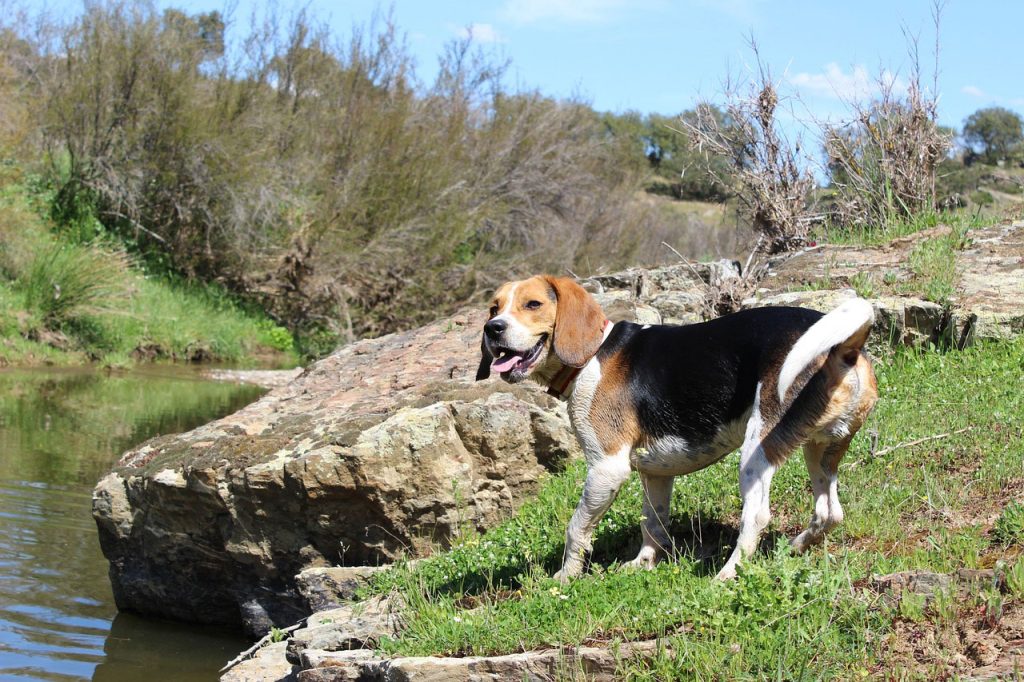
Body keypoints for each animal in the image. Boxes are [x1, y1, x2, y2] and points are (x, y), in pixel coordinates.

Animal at [475, 274, 876, 577]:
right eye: (494, 307)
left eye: (532, 304)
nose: (493, 329)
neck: (592, 357)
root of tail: (844, 346)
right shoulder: (655, 472)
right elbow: (652, 522)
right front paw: (643, 563)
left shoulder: (606, 467)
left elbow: (576, 528)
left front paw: (565, 577)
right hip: (820, 448)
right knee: (829, 512)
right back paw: (796, 547)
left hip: (758, 448)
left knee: (757, 517)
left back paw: (726, 576)